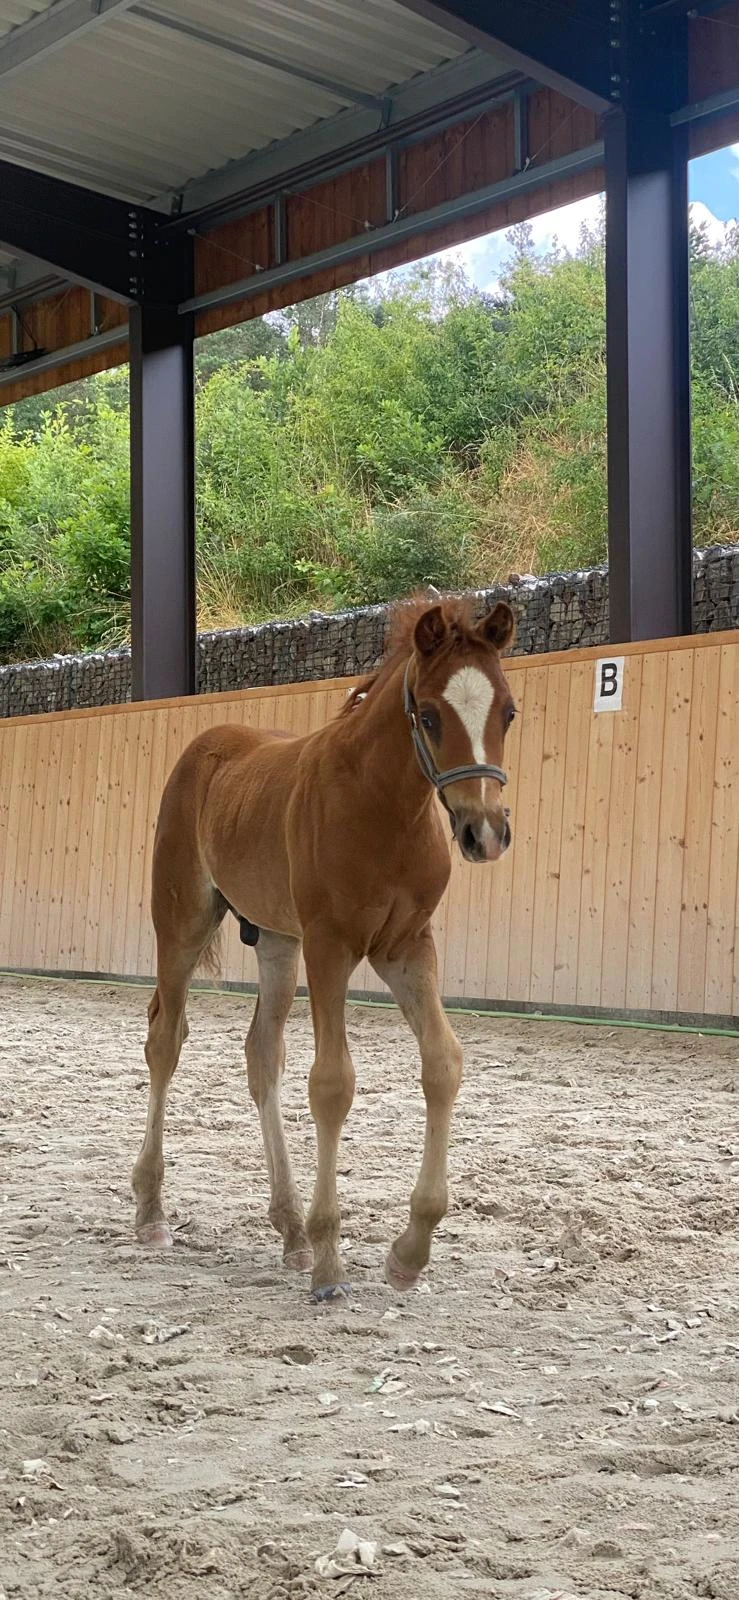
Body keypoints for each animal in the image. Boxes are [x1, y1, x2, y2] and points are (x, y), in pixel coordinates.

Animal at [133, 594, 517, 1301]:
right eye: (428, 714)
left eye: (508, 710)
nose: (484, 832)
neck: (383, 809)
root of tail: (206, 745)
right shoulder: (331, 946)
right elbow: (332, 1083)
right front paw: (332, 1260)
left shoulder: (405, 946)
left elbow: (443, 1062)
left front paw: (409, 1250)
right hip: (183, 921)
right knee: (165, 1040)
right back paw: (151, 1212)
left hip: (278, 942)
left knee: (262, 1055)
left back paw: (289, 1233)